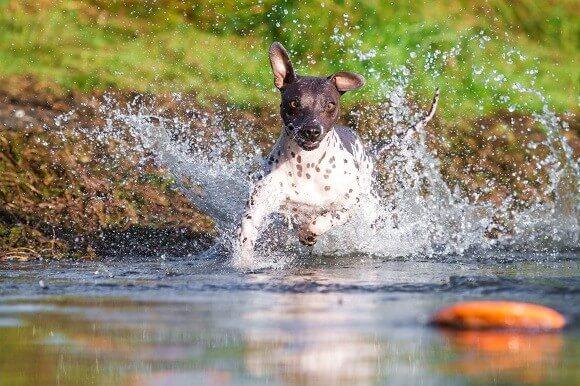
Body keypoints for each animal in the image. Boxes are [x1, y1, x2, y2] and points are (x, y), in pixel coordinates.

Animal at [237, 40, 440, 266]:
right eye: (294, 103)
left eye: (329, 104)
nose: (311, 130)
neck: (307, 166)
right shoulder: (257, 206)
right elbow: (246, 236)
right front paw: (243, 262)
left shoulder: (349, 205)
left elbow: (324, 220)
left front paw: (308, 233)